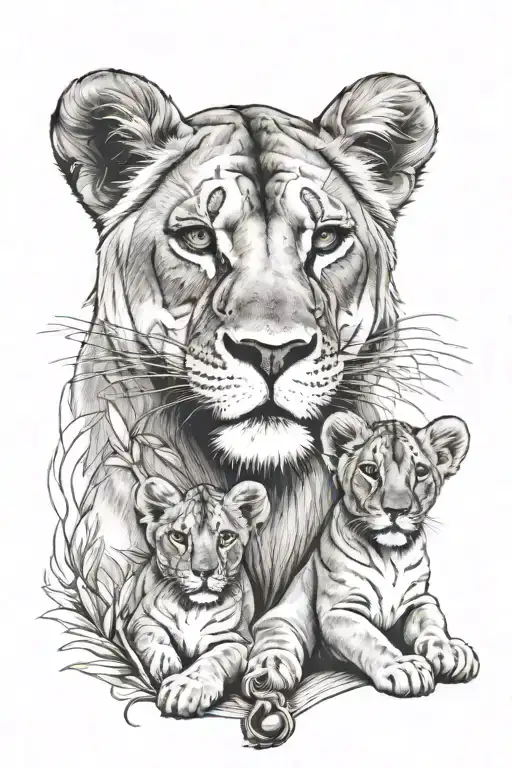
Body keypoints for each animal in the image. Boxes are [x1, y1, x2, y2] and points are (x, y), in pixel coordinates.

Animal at [242, 413, 479, 701]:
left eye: (421, 472)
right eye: (370, 471)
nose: (396, 510)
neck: (390, 555)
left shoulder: (419, 600)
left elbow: (431, 624)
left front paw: (449, 651)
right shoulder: (340, 610)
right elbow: (370, 639)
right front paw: (403, 667)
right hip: (284, 616)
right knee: (275, 639)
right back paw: (271, 670)